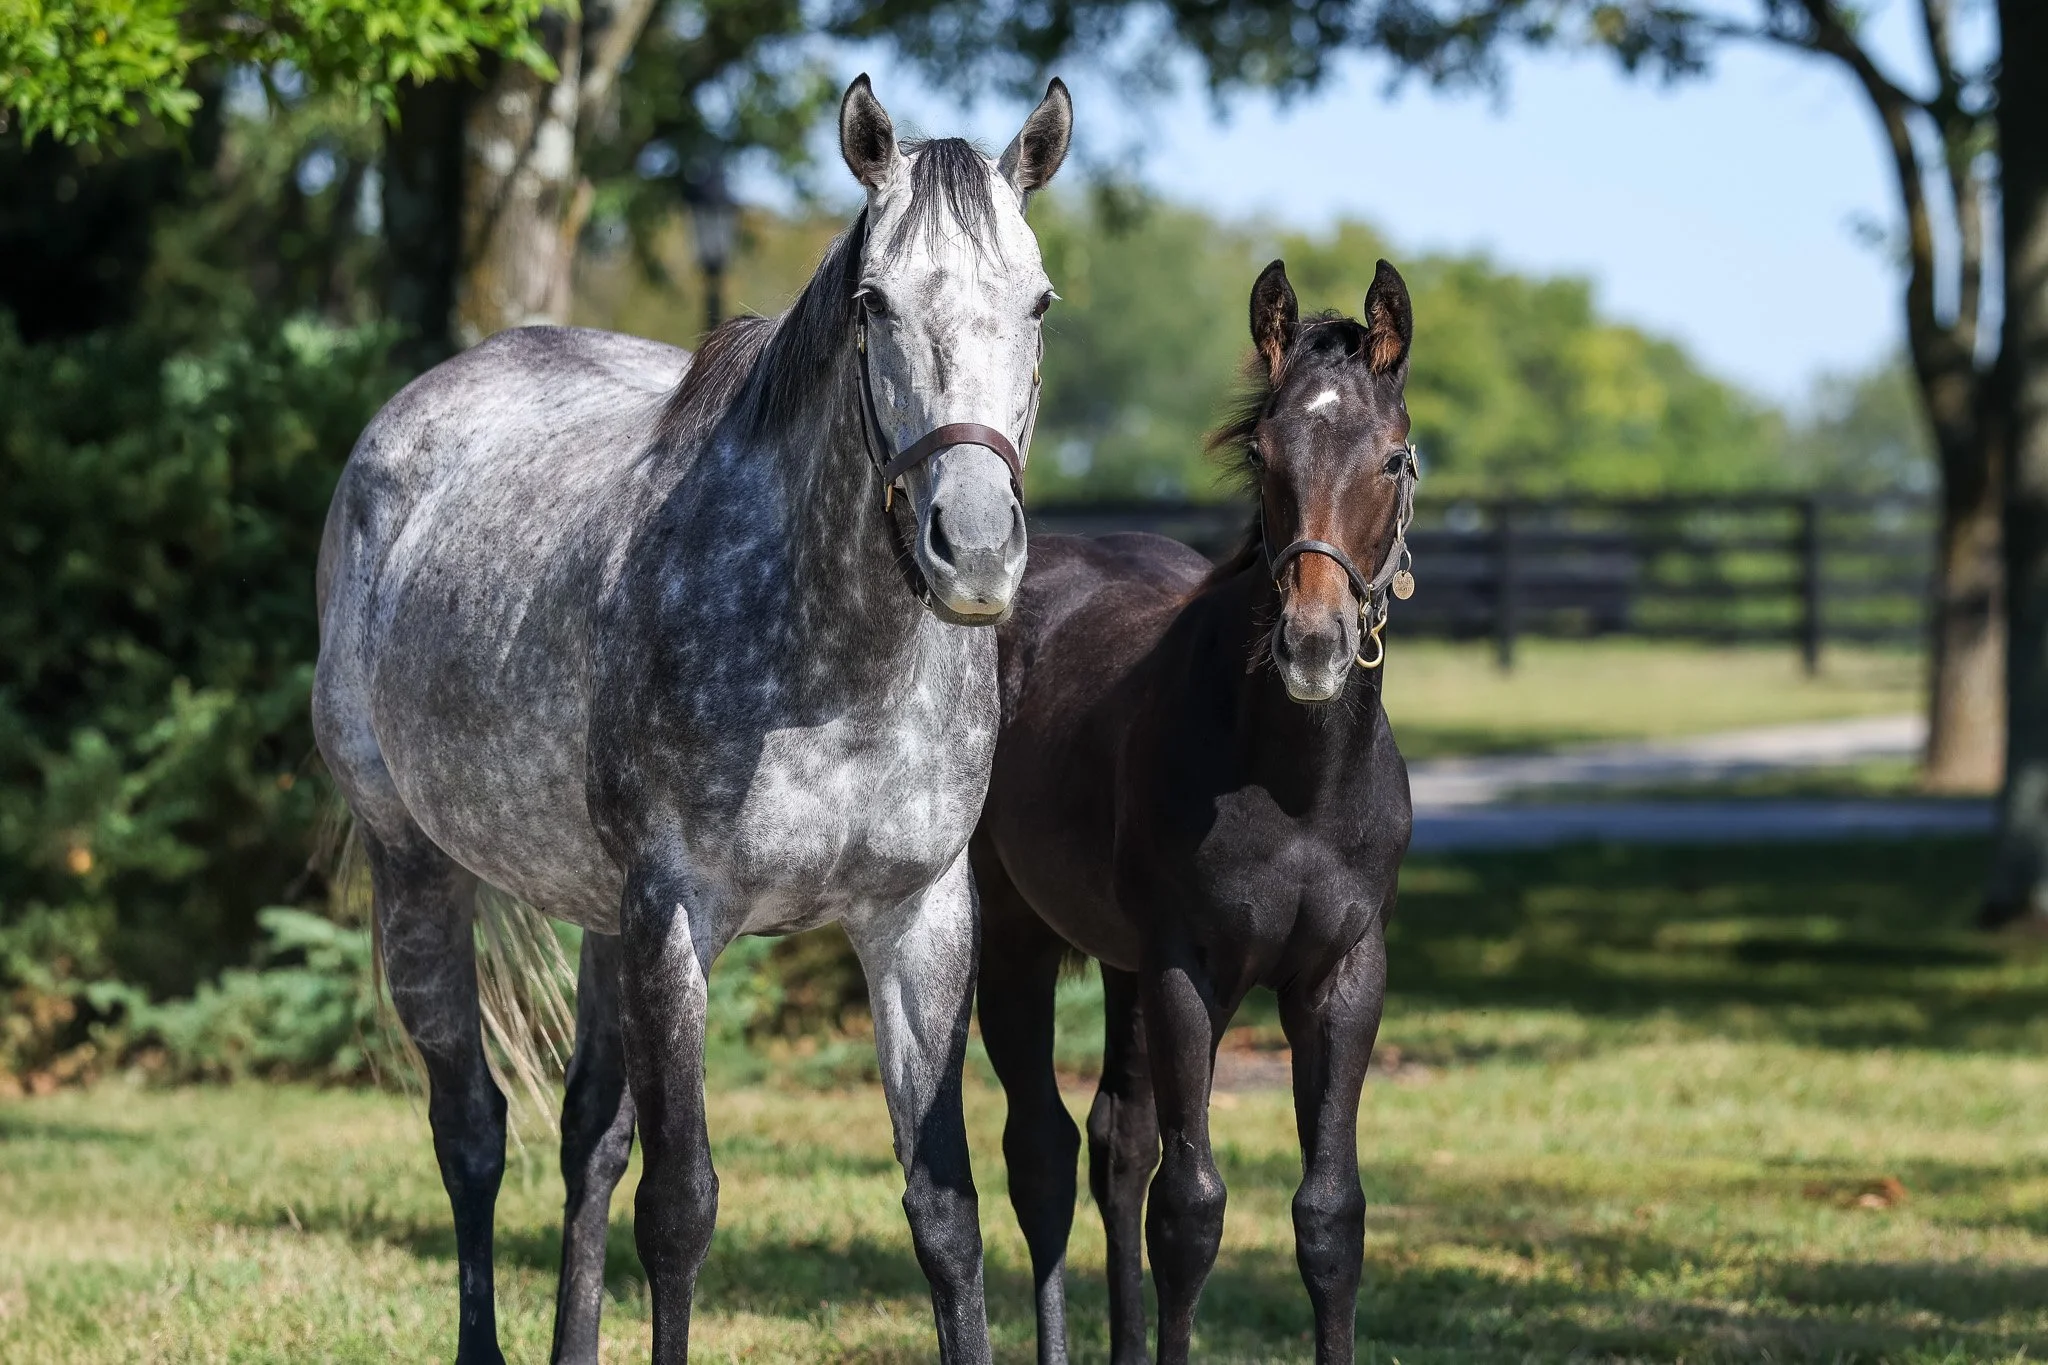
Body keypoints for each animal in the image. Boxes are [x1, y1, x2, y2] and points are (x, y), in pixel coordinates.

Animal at [312, 75, 1073, 1364]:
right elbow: (679, 1210)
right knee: (471, 1130)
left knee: (582, 1139)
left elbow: (944, 1211)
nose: (972, 549)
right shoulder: (676, 919)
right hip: (418, 870)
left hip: (594, 914)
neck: (838, 668)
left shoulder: (916, 918)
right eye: (871, 303)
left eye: (1039, 302)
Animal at [970, 258, 1419, 1365]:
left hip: (1121, 964)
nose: (1312, 644)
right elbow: (1190, 1209)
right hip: (1015, 936)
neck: (1297, 788)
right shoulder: (1187, 968)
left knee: (1115, 1142)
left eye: (1393, 458)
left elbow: (1329, 1213)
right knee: (1040, 1149)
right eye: (1262, 452)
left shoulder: (1344, 975)